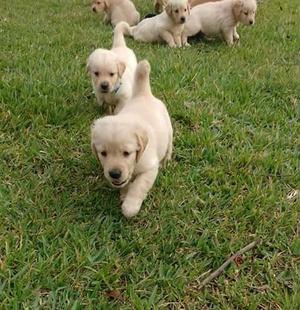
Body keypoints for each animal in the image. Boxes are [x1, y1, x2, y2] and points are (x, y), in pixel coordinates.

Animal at [90, 59, 172, 217]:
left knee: (169, 146)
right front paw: (124, 193)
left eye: (127, 153)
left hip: (169, 130)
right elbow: (126, 184)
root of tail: (144, 94)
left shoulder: (149, 169)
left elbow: (138, 187)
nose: (114, 174)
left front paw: (130, 206)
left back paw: (166, 161)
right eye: (103, 153)